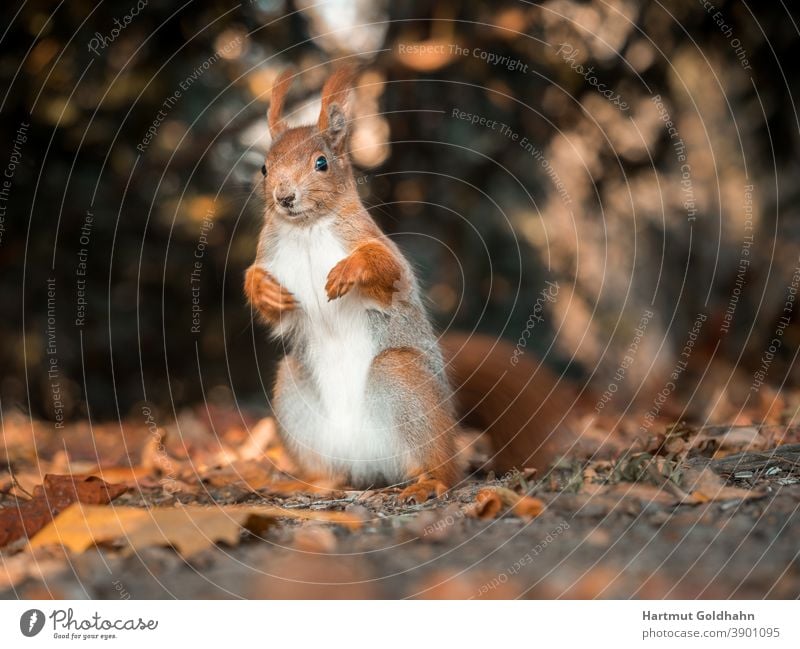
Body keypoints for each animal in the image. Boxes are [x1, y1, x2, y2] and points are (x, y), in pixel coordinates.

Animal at [245, 68, 576, 488]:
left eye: (321, 163)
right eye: (264, 168)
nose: (284, 197)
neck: (306, 229)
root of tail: (368, 464)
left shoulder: (375, 247)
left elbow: (387, 268)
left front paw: (347, 272)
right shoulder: (269, 257)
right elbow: (266, 299)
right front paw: (266, 292)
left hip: (402, 378)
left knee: (445, 467)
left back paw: (429, 482)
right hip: (295, 391)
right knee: (329, 463)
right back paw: (317, 481)